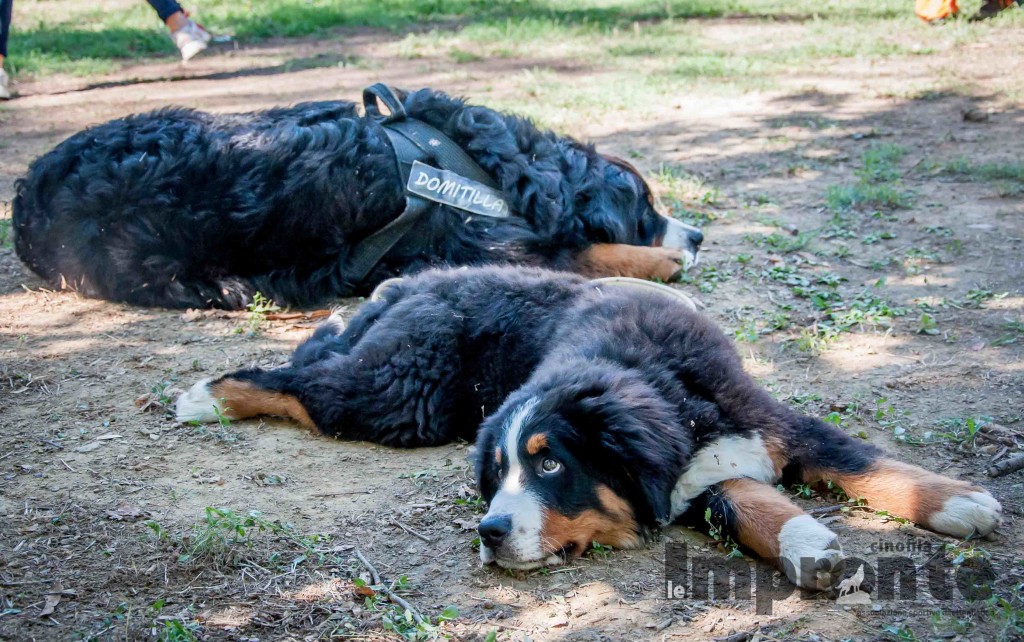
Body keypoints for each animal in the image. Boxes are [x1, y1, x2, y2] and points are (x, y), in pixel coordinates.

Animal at [12, 88, 704, 311]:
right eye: (646, 211)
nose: (696, 234)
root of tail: (29, 198)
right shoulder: (485, 249)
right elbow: (589, 255)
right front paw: (663, 260)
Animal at [174, 266, 999, 589]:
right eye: (496, 476)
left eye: (549, 465)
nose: (489, 532)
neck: (664, 385)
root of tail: (415, 280)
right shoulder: (686, 482)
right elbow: (750, 506)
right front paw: (815, 548)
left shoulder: (761, 427)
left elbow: (859, 462)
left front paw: (956, 503)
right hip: (402, 395)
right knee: (303, 383)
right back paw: (206, 396)